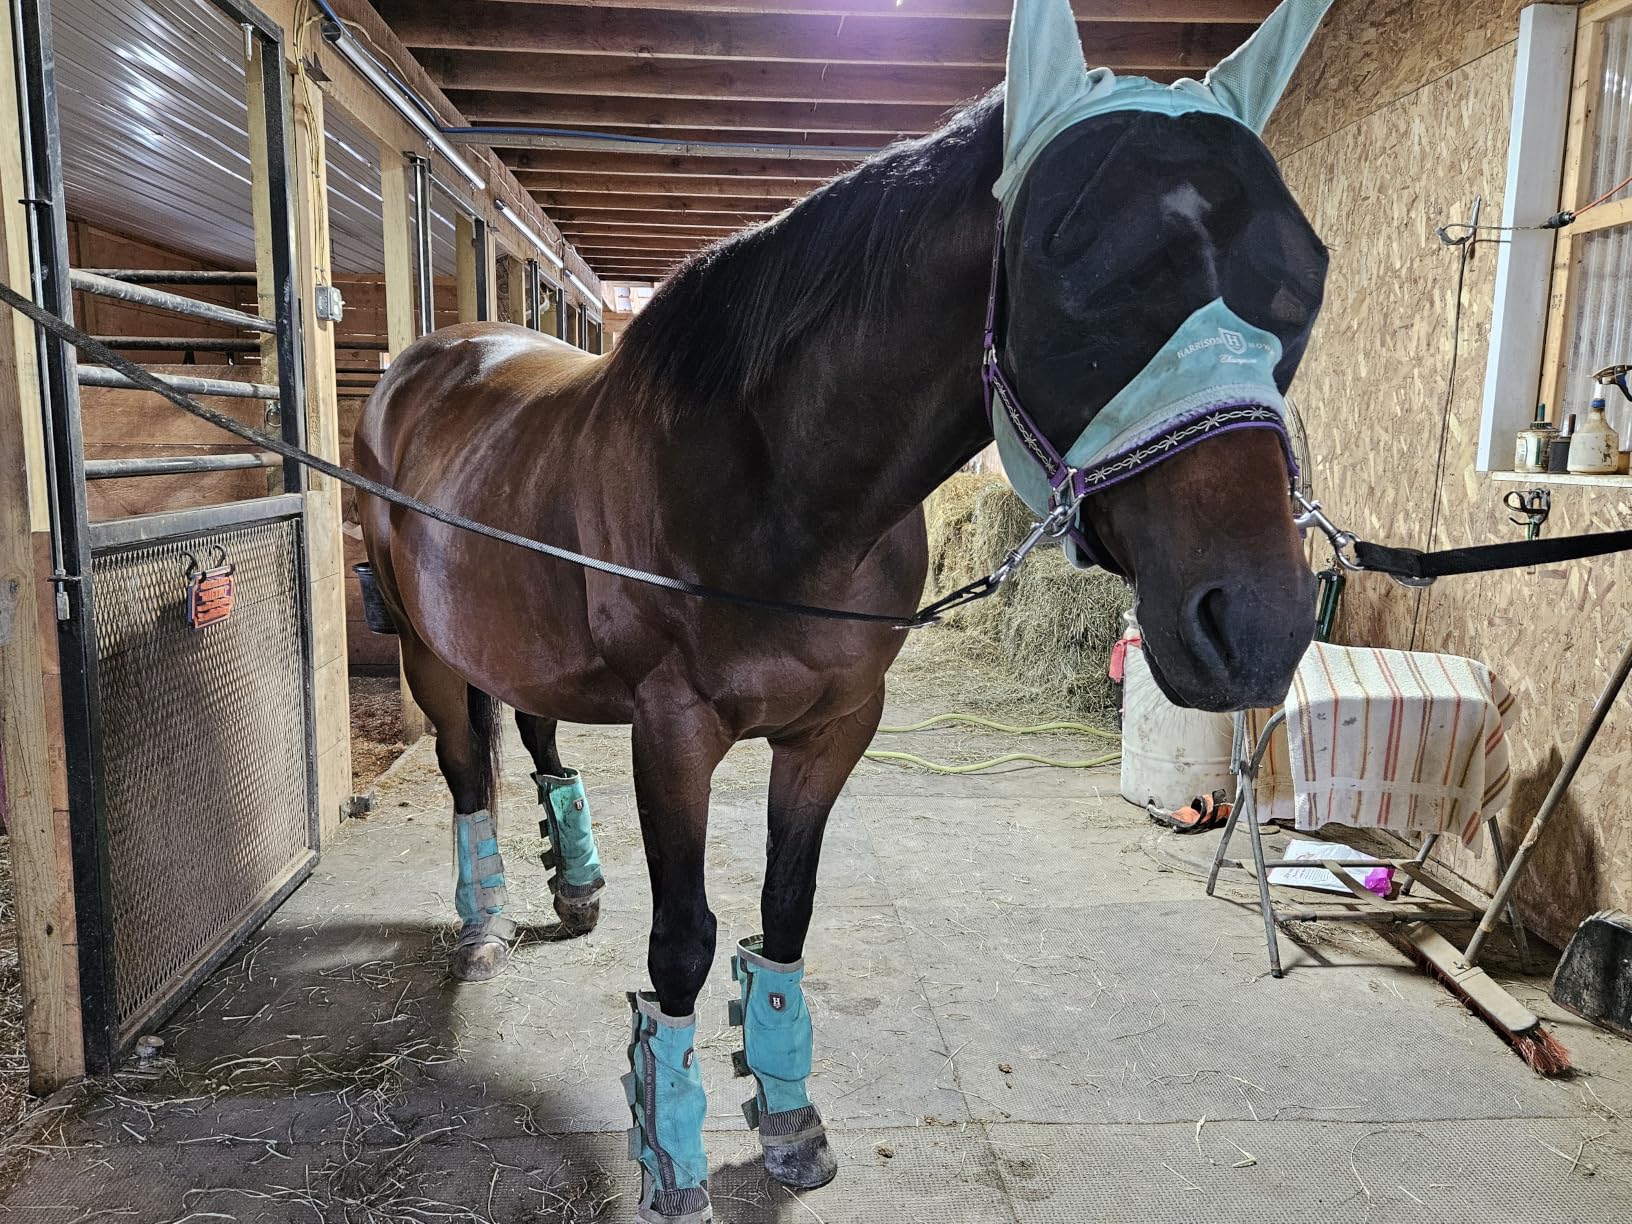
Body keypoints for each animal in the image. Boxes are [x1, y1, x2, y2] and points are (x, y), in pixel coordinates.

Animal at [355, 16, 1330, 1219]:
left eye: (1302, 282)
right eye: (1079, 272)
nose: (1259, 623)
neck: (771, 480)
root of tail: (432, 360)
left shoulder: (834, 727)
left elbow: (785, 911)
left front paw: (787, 1117)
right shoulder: (673, 731)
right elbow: (683, 945)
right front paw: (672, 1152)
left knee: (535, 732)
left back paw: (575, 884)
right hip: (427, 647)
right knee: (465, 772)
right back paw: (485, 922)